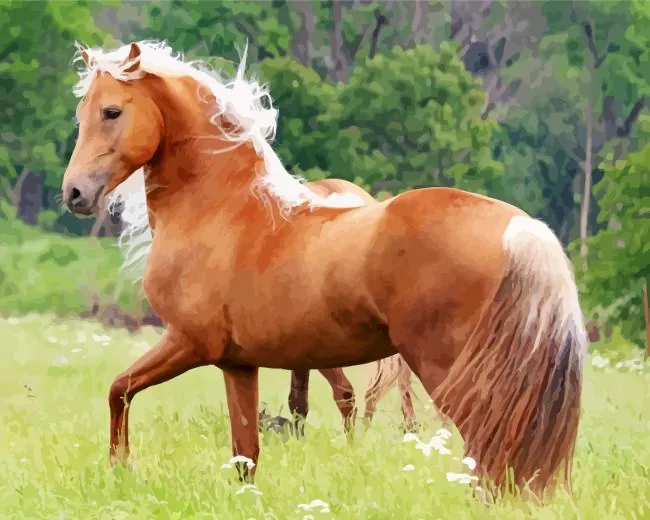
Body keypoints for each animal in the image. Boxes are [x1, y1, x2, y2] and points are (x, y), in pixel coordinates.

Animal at [61, 41, 586, 498]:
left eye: (112, 111)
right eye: (83, 114)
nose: (74, 194)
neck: (221, 209)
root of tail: (520, 227)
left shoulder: (188, 342)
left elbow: (118, 391)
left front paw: (120, 468)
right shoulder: (237, 364)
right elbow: (245, 454)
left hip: (449, 370)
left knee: (486, 450)